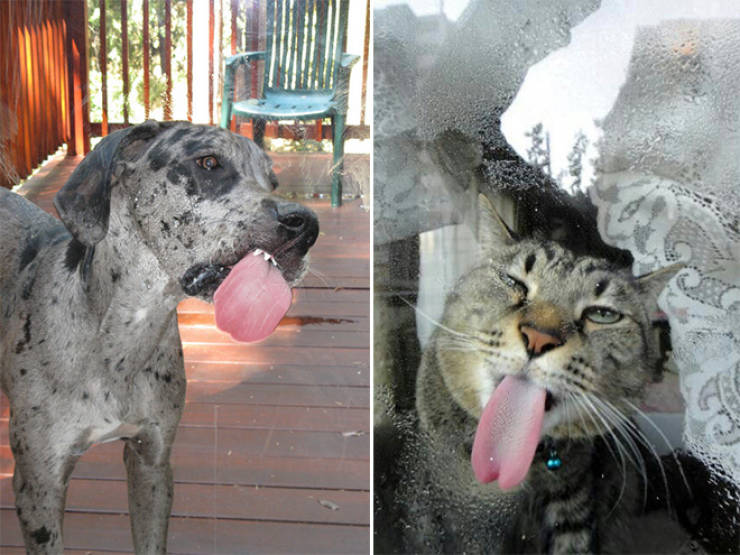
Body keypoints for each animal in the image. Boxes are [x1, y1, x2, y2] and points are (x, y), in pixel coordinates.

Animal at [0, 120, 318, 552]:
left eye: (272, 180)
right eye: (209, 162)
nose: (307, 225)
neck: (120, 340)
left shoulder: (151, 462)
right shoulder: (39, 487)